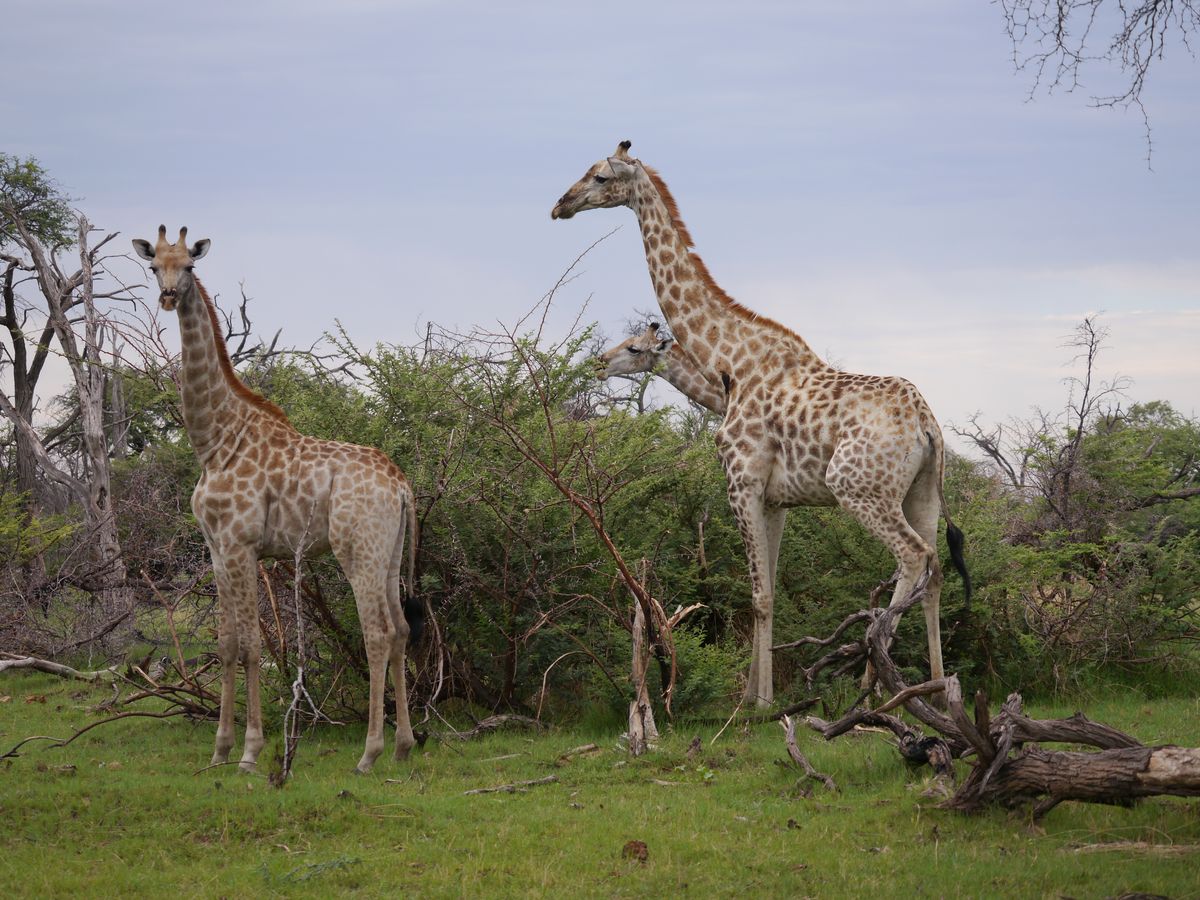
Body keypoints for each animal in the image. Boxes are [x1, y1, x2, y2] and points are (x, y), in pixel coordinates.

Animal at [133, 226, 422, 773]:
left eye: (190, 267)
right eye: (154, 266)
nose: (168, 296)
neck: (215, 440)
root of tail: (401, 486)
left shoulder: (241, 544)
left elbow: (250, 646)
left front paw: (250, 751)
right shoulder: (216, 548)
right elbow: (226, 644)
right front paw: (220, 749)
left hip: (358, 551)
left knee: (377, 633)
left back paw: (369, 753)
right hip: (390, 553)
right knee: (400, 630)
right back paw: (403, 745)